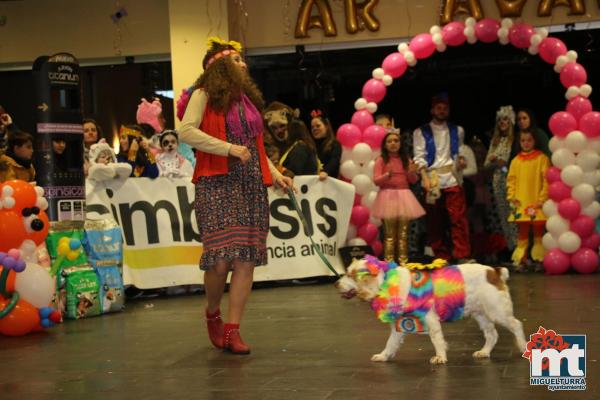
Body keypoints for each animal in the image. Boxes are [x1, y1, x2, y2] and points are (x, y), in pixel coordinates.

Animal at [336, 258, 528, 364]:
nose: (336, 283)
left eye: (350, 275)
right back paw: (484, 352)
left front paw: (440, 357)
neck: (388, 283)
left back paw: (523, 347)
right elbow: (390, 343)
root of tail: (494, 271)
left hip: (497, 311)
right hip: (480, 314)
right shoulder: (399, 325)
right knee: (492, 334)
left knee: (517, 324)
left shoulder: (431, 319)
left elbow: (437, 340)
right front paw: (383, 356)